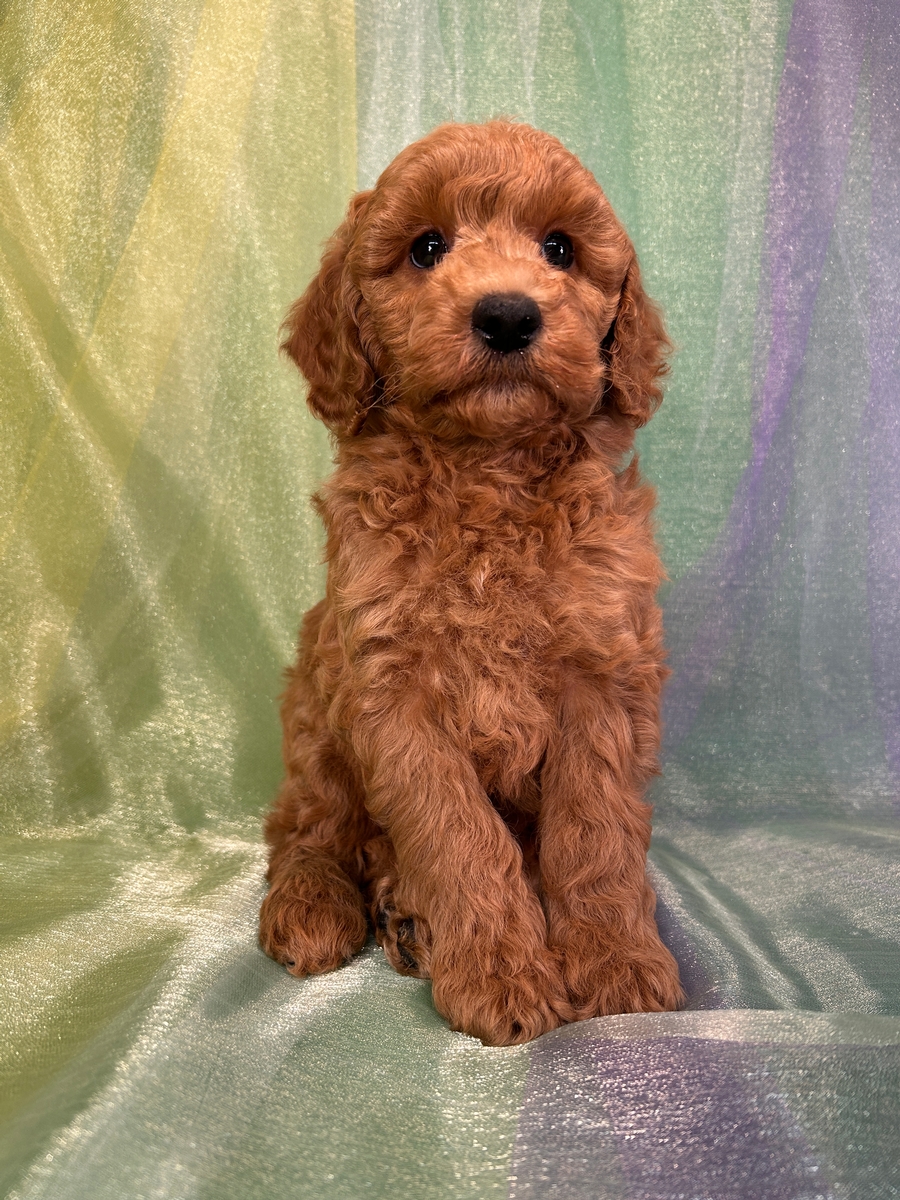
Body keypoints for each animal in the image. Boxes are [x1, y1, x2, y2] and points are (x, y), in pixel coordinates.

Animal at [260, 119, 681, 1041]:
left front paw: (617, 964)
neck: (487, 473)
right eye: (427, 248)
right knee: (307, 825)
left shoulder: (602, 673)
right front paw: (502, 975)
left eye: (559, 248)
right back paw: (317, 904)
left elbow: (595, 833)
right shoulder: (390, 689)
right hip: (315, 706)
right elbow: (457, 837)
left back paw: (406, 916)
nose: (508, 313)